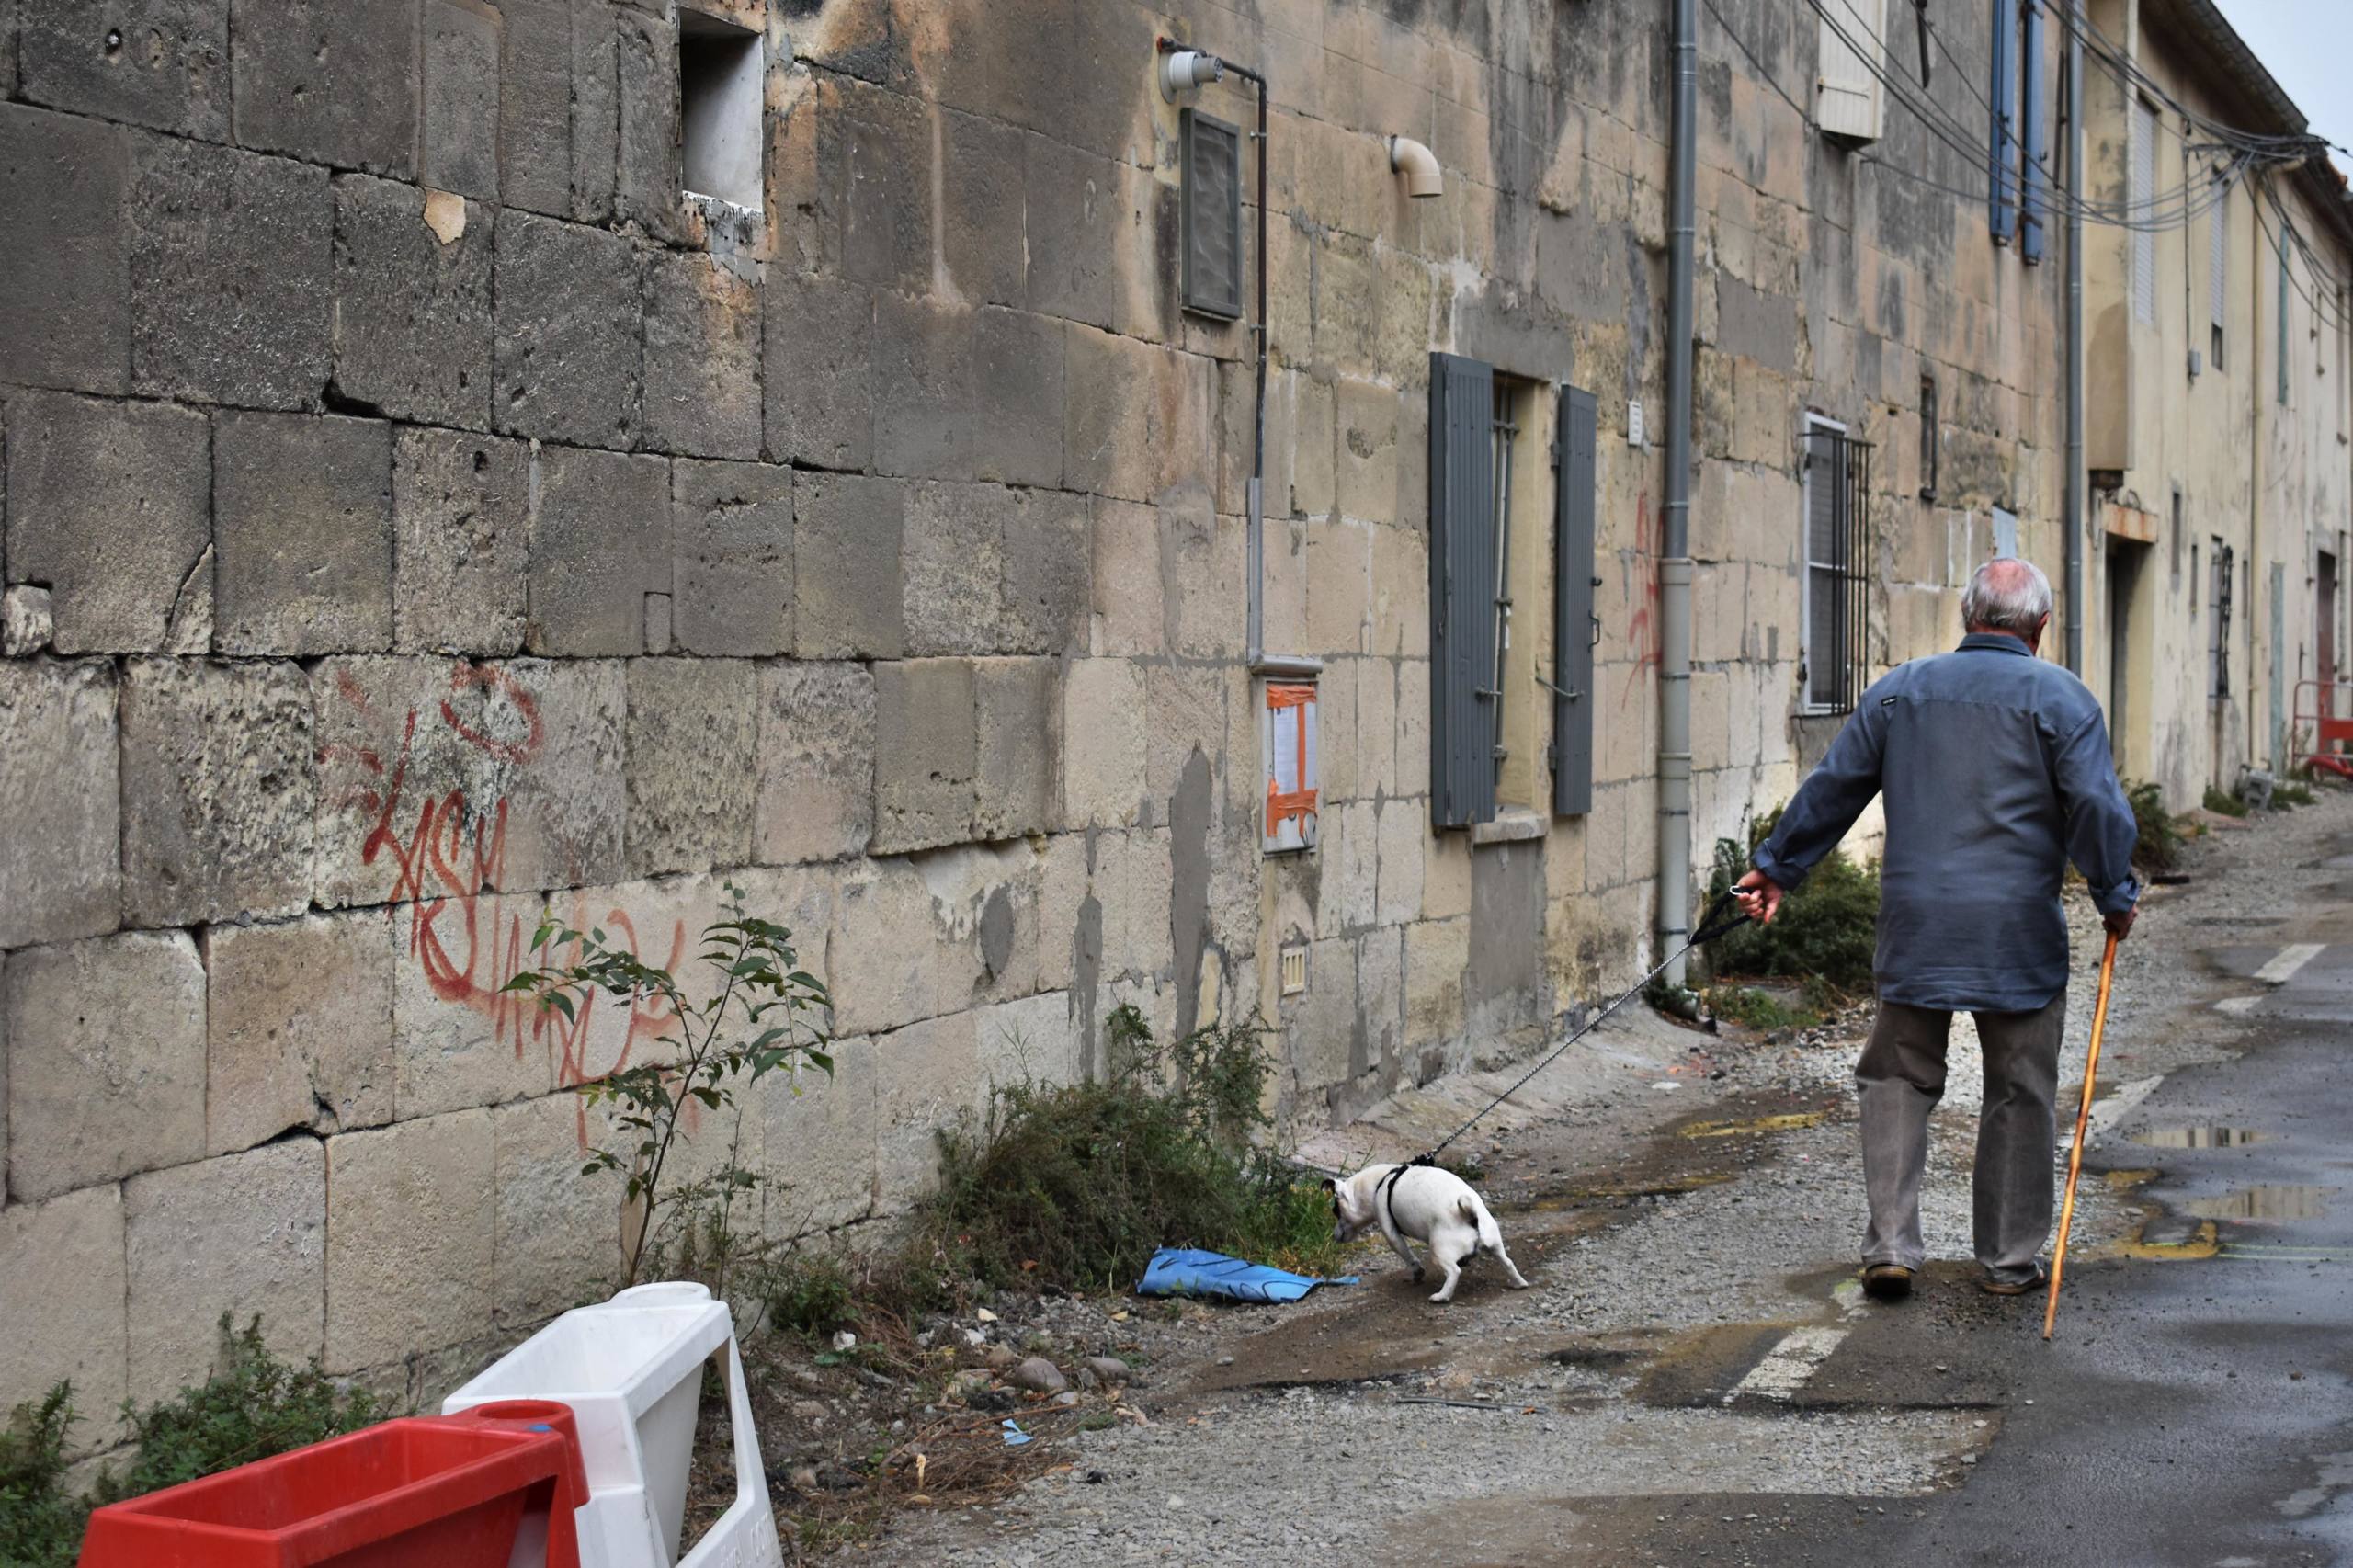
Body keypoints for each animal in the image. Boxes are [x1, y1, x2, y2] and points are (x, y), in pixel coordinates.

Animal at [1326, 1153, 1524, 1299]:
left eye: (1335, 1211)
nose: (1334, 1235)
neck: (1379, 1183)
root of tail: (1471, 1215)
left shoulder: (1391, 1233)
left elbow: (1408, 1256)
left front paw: (1417, 1273)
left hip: (1439, 1250)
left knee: (1454, 1271)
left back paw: (1442, 1296)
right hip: (1494, 1244)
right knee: (1508, 1262)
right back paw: (1519, 1283)